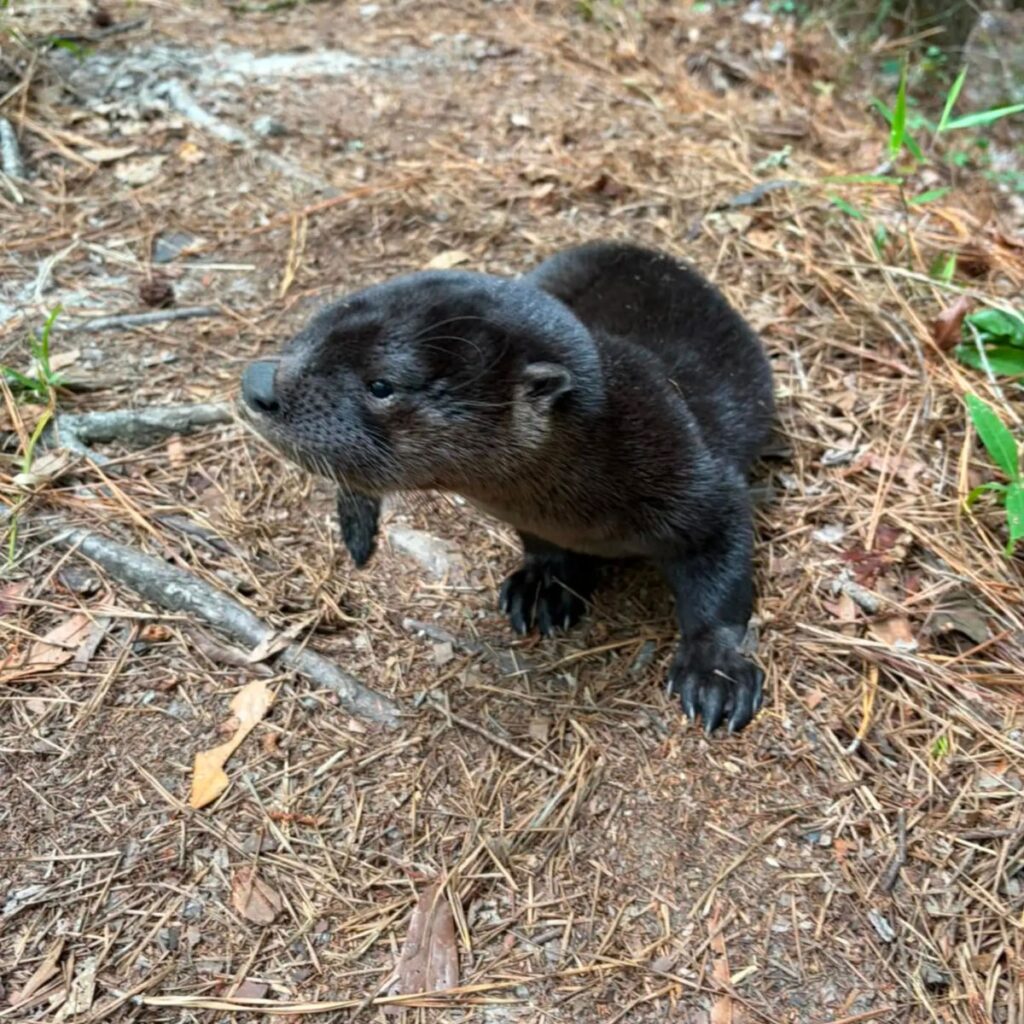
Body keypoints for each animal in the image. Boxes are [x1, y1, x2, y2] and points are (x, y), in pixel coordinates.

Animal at [240, 242, 774, 735]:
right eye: (309, 335)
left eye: (382, 385)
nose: (257, 381)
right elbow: (541, 546)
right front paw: (544, 584)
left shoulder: (703, 483)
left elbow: (721, 581)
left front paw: (717, 673)